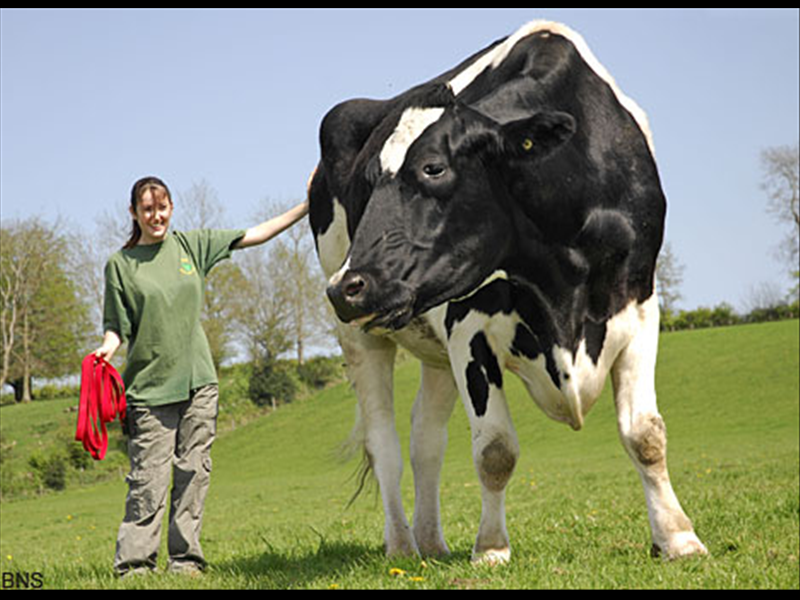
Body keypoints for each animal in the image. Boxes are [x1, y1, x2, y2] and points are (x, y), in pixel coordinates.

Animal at [308, 20, 707, 564]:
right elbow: (495, 449)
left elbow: (646, 434)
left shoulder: (639, 304)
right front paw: (492, 547)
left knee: (425, 438)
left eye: (433, 168)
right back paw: (403, 547)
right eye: (365, 184)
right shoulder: (467, 326)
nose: (347, 288)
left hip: (433, 351)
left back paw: (432, 543)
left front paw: (678, 537)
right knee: (384, 444)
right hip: (362, 338)